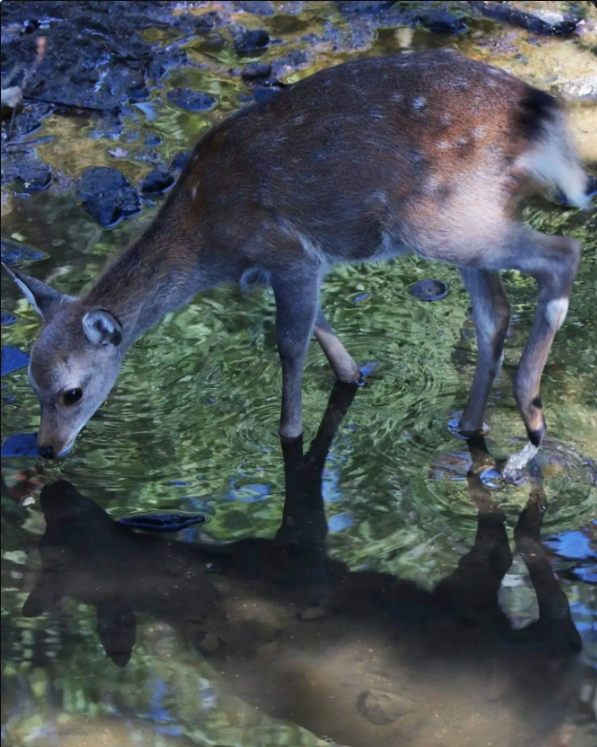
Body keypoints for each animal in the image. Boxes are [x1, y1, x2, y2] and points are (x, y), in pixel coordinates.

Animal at [2, 49, 590, 463]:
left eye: (72, 392)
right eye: (32, 385)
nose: (46, 449)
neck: (208, 241)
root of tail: (543, 118)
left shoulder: (286, 252)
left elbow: (288, 345)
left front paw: (287, 434)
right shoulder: (286, 267)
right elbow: (328, 342)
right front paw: (353, 376)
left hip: (438, 218)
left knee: (563, 252)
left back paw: (532, 414)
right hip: (467, 219)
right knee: (495, 312)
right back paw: (471, 427)